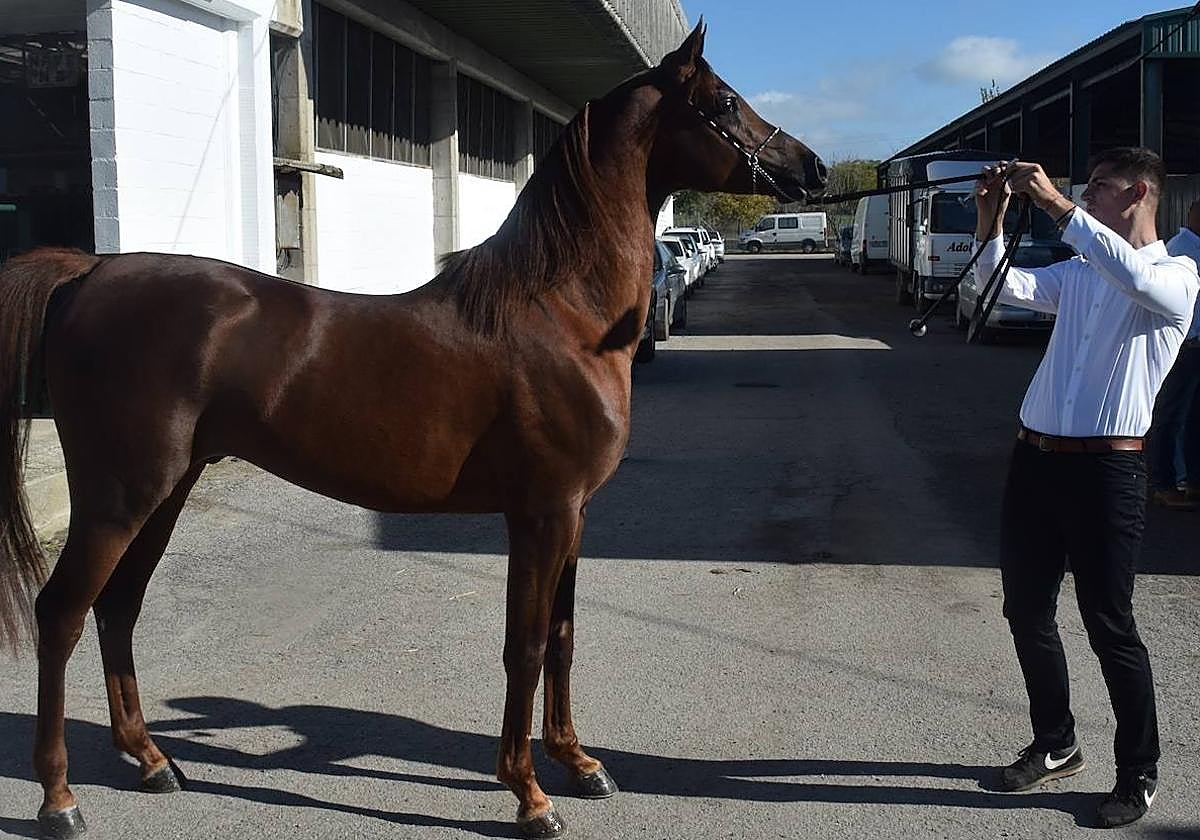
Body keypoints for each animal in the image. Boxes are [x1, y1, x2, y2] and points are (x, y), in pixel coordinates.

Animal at [0, 22, 825, 840]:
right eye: (725, 101)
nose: (812, 169)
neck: (564, 313)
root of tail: (89, 272)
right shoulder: (543, 513)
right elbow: (525, 645)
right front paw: (530, 795)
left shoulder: (576, 514)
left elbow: (562, 637)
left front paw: (581, 764)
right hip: (119, 499)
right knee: (62, 613)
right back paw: (59, 799)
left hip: (164, 493)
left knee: (118, 608)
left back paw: (152, 762)